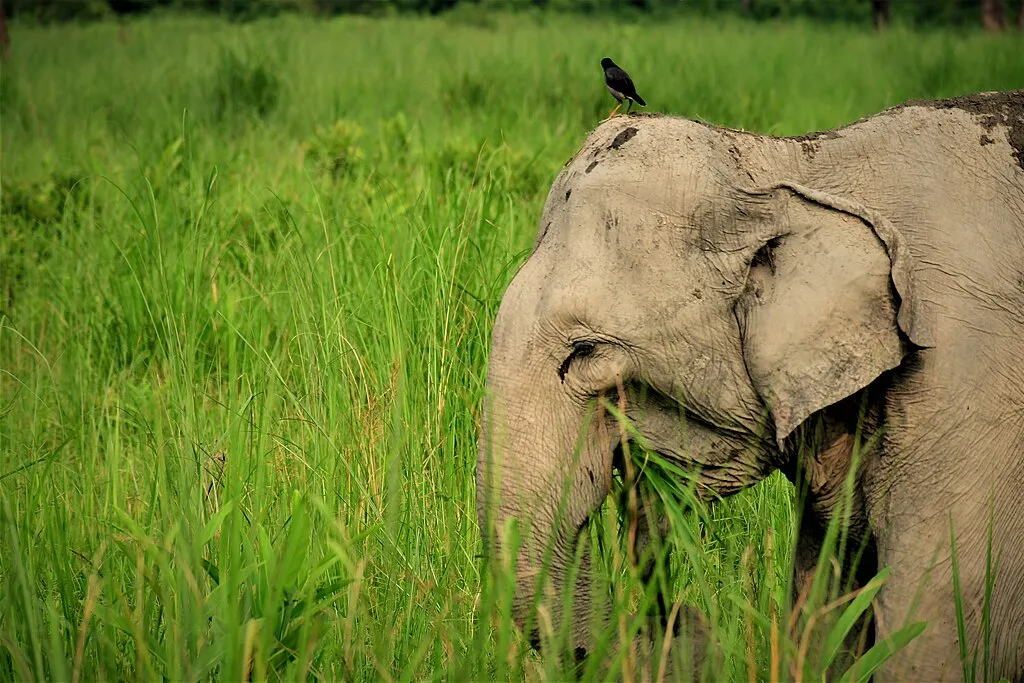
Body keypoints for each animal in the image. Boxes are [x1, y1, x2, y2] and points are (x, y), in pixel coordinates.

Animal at [475, 89, 1024, 679]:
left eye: (584, 351)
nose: (685, 620)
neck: (796, 165)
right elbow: (824, 612)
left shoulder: (971, 387)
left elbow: (935, 633)